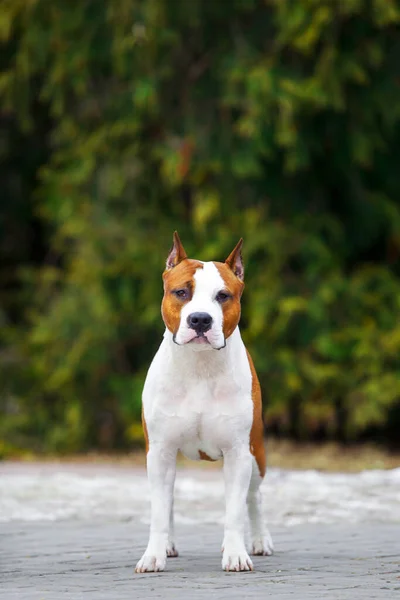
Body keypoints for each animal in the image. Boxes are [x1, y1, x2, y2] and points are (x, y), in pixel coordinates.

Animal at [136, 231, 274, 572]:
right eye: (181, 292)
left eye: (223, 296)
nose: (200, 319)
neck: (199, 366)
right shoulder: (159, 452)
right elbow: (159, 511)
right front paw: (154, 555)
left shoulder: (238, 452)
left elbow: (235, 510)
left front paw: (236, 554)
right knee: (170, 500)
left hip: (256, 452)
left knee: (253, 497)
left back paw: (259, 540)